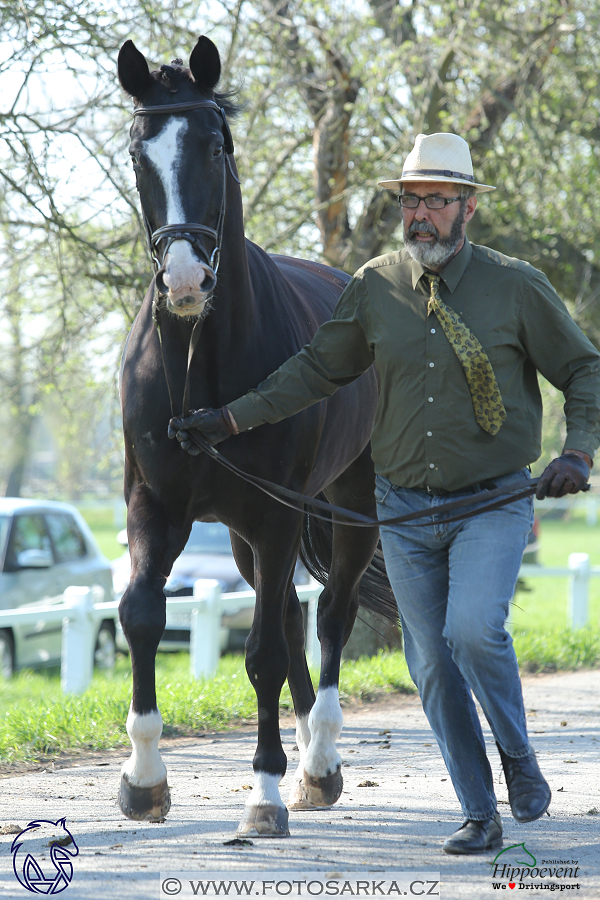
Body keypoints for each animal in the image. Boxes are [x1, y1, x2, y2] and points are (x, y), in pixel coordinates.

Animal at [118, 35, 394, 836]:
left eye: (214, 146)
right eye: (138, 152)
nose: (184, 282)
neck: (199, 364)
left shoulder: (276, 513)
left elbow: (265, 652)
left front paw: (265, 795)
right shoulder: (154, 503)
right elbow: (142, 616)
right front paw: (144, 781)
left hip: (346, 507)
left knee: (328, 617)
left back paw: (319, 763)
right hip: (246, 535)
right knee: (294, 613)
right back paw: (308, 760)